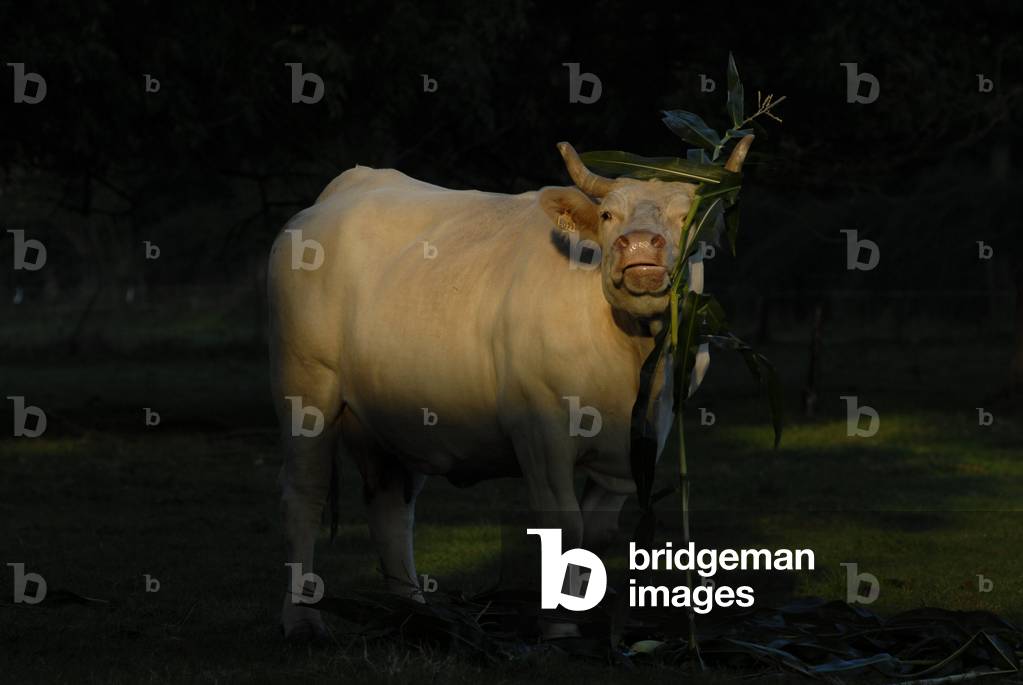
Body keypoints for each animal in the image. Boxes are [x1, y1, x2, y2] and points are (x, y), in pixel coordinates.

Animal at [268, 137, 753, 640]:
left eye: (689, 215)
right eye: (607, 215)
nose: (638, 245)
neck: (630, 353)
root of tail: (350, 185)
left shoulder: (643, 441)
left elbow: (596, 535)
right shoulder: (540, 427)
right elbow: (564, 528)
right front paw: (559, 630)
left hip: (395, 413)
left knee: (389, 505)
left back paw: (417, 615)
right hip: (306, 384)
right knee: (304, 495)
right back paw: (302, 619)